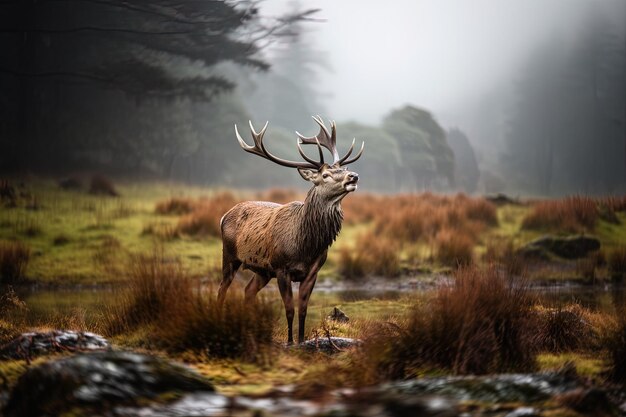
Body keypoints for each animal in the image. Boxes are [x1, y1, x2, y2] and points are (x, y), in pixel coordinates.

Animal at [217, 115, 364, 342]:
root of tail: (224, 215)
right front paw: (289, 341)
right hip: (230, 255)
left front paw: (302, 340)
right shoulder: (281, 268)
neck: (305, 245)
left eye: (344, 169)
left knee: (248, 291)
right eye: (325, 175)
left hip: (262, 270)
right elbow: (289, 309)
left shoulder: (313, 271)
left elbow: (303, 309)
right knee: (222, 289)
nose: (353, 176)